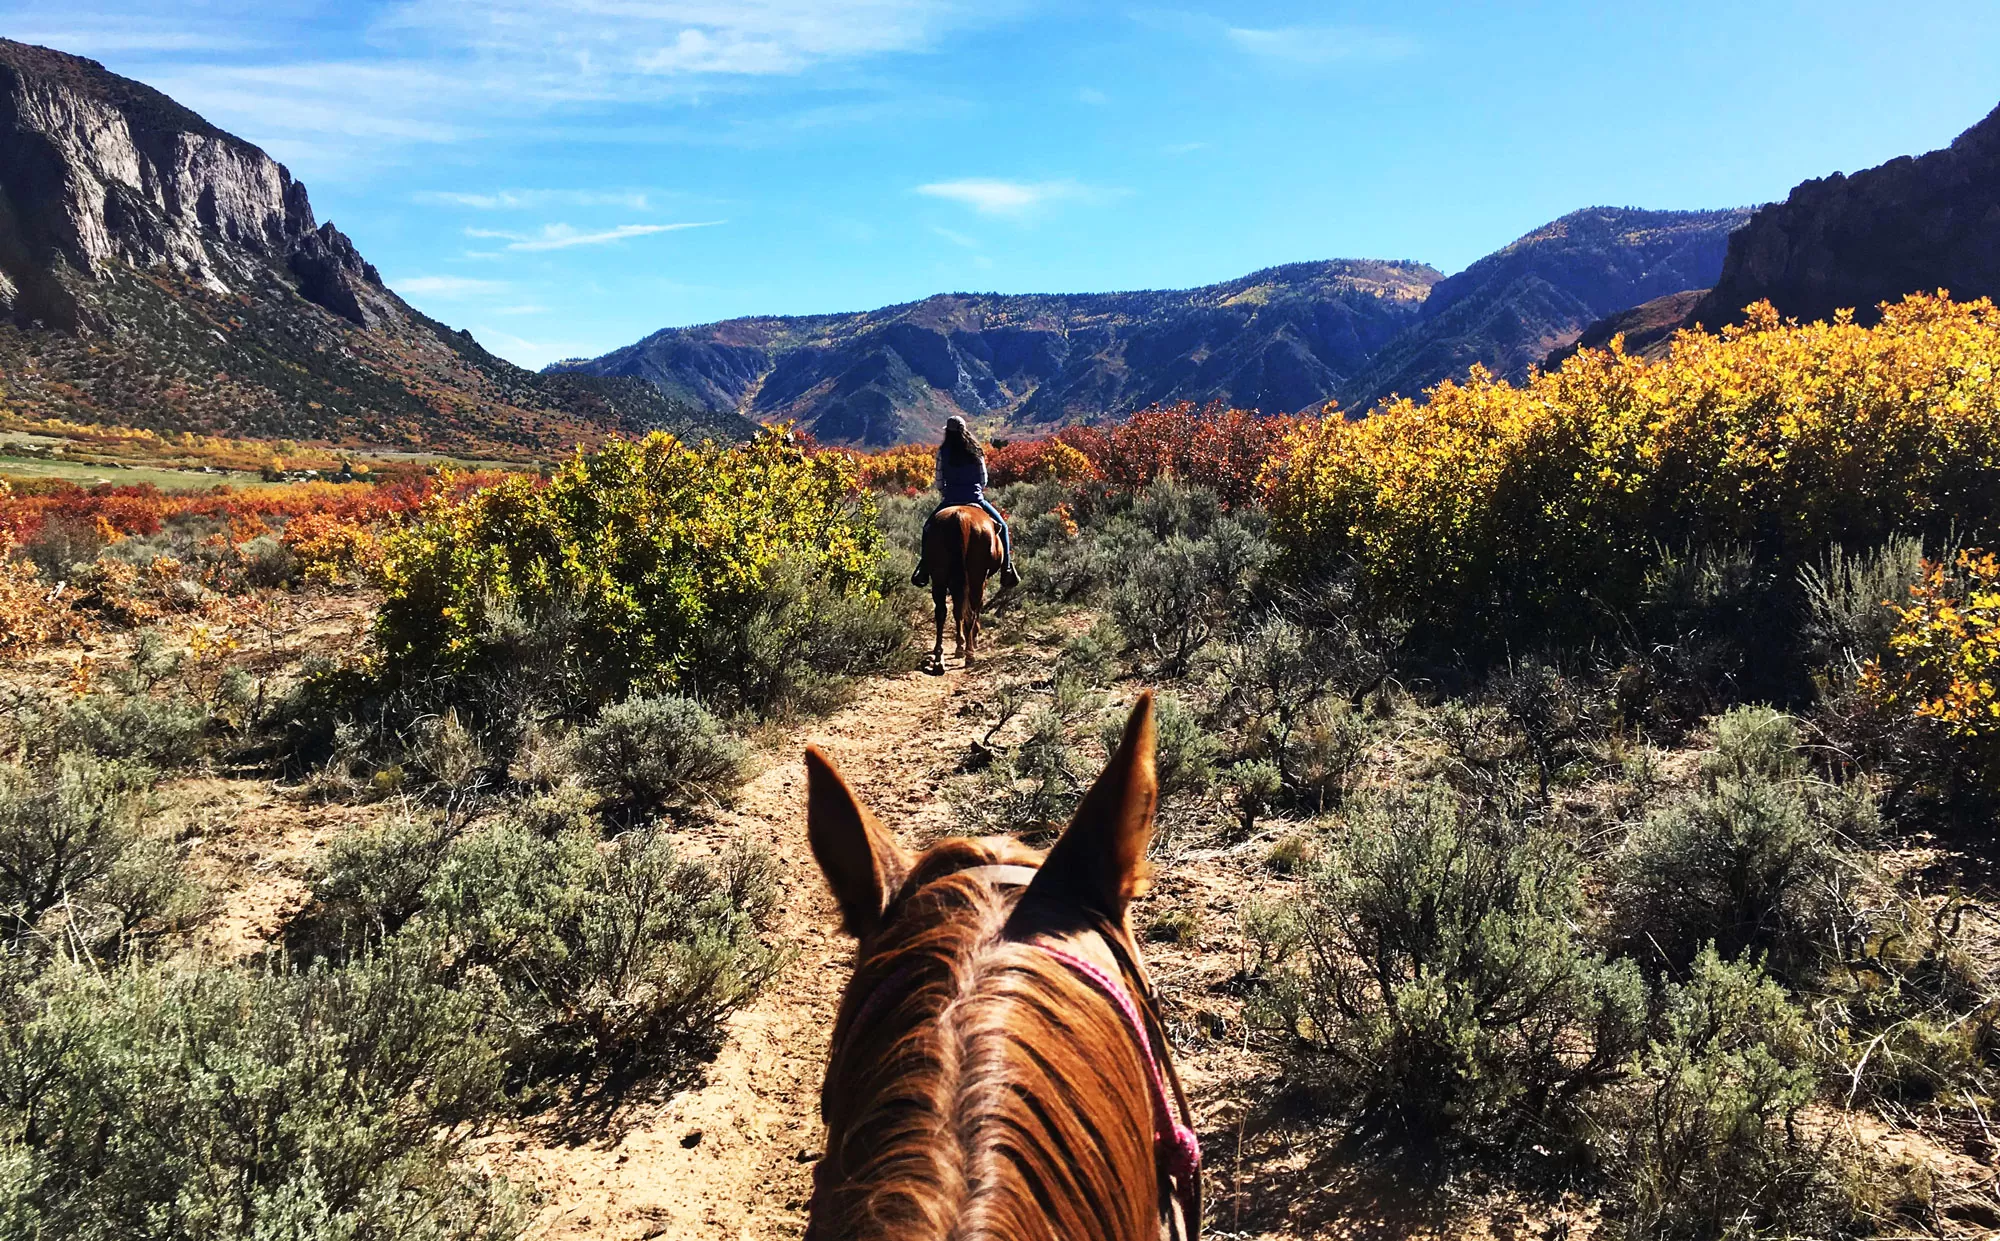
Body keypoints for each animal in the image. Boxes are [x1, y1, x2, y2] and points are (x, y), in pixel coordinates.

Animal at [924, 504, 1008, 672]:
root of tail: (960, 518)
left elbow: (957, 611)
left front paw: (959, 644)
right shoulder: (981, 580)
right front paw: (970, 640)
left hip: (939, 577)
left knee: (941, 612)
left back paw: (939, 658)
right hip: (976, 578)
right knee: (972, 611)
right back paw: (970, 653)